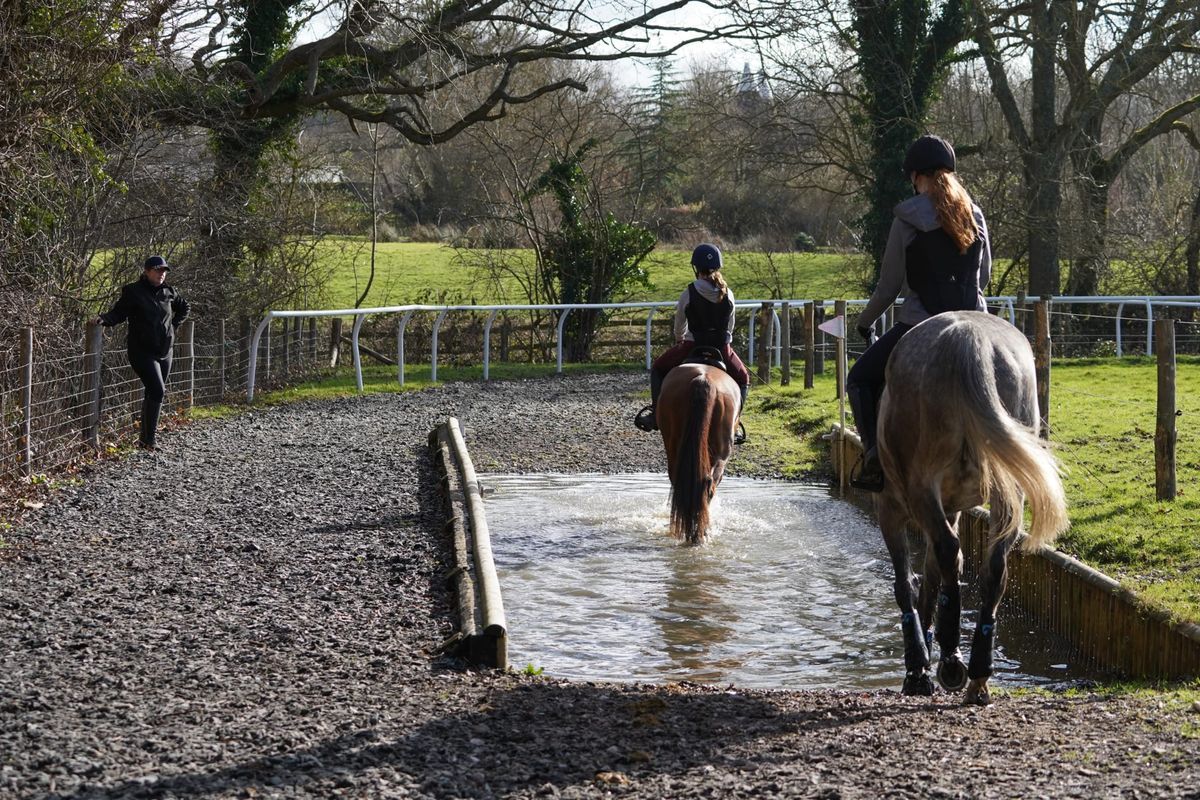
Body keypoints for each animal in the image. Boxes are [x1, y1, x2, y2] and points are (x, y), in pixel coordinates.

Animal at [873, 309, 1070, 705]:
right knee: (992, 568)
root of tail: (966, 338)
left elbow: (907, 583)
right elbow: (931, 576)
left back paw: (951, 659)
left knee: (950, 553)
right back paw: (977, 673)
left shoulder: (892, 510)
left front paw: (917, 667)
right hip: (1007, 491)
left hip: (921, 488)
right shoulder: (949, 508)